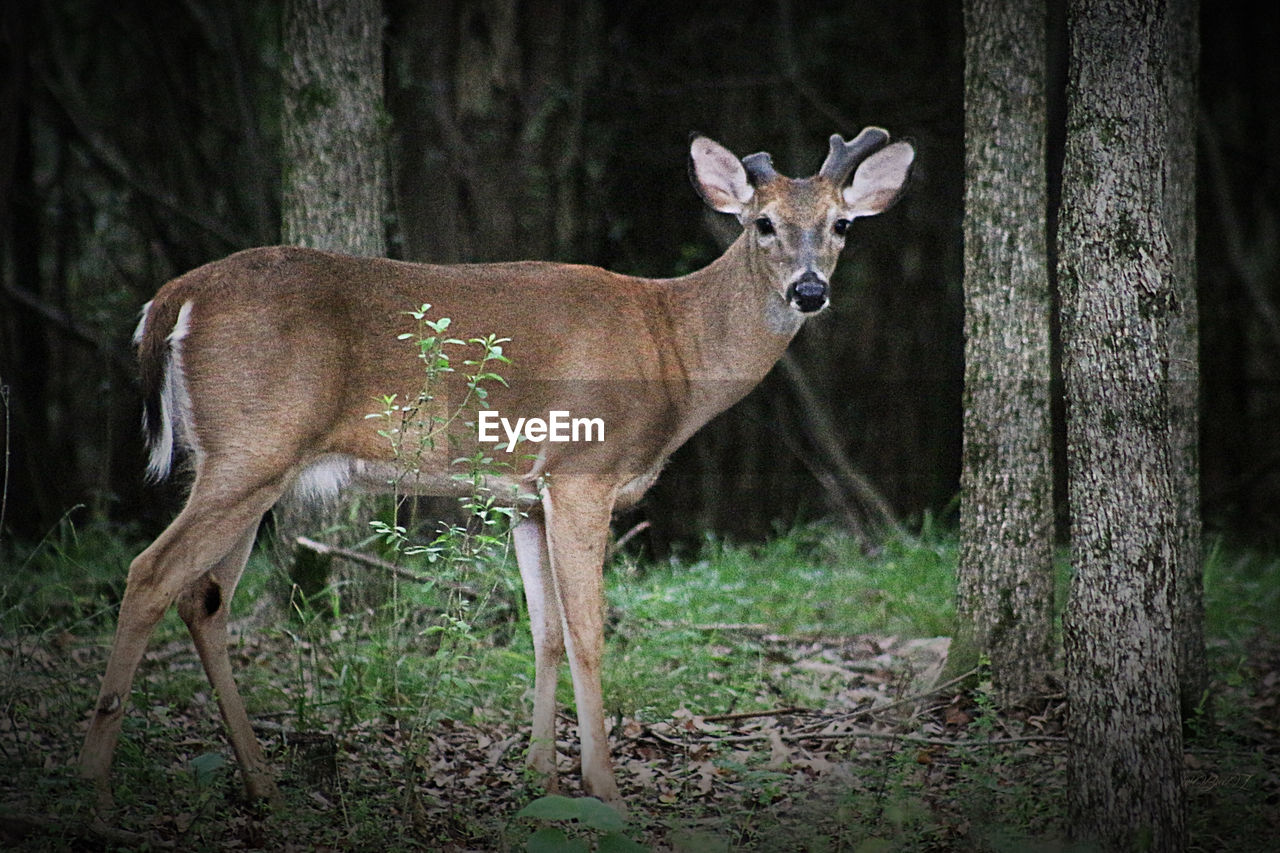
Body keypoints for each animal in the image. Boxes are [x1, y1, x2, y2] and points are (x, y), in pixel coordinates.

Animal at [80, 126, 916, 809]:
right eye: (762, 223)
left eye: (842, 224)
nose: (809, 290)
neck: (670, 350)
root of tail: (173, 299)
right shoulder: (584, 467)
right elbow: (588, 629)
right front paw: (604, 787)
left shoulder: (528, 496)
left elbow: (542, 630)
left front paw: (539, 775)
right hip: (250, 447)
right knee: (150, 573)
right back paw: (96, 786)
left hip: (250, 464)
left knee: (204, 599)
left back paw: (262, 784)